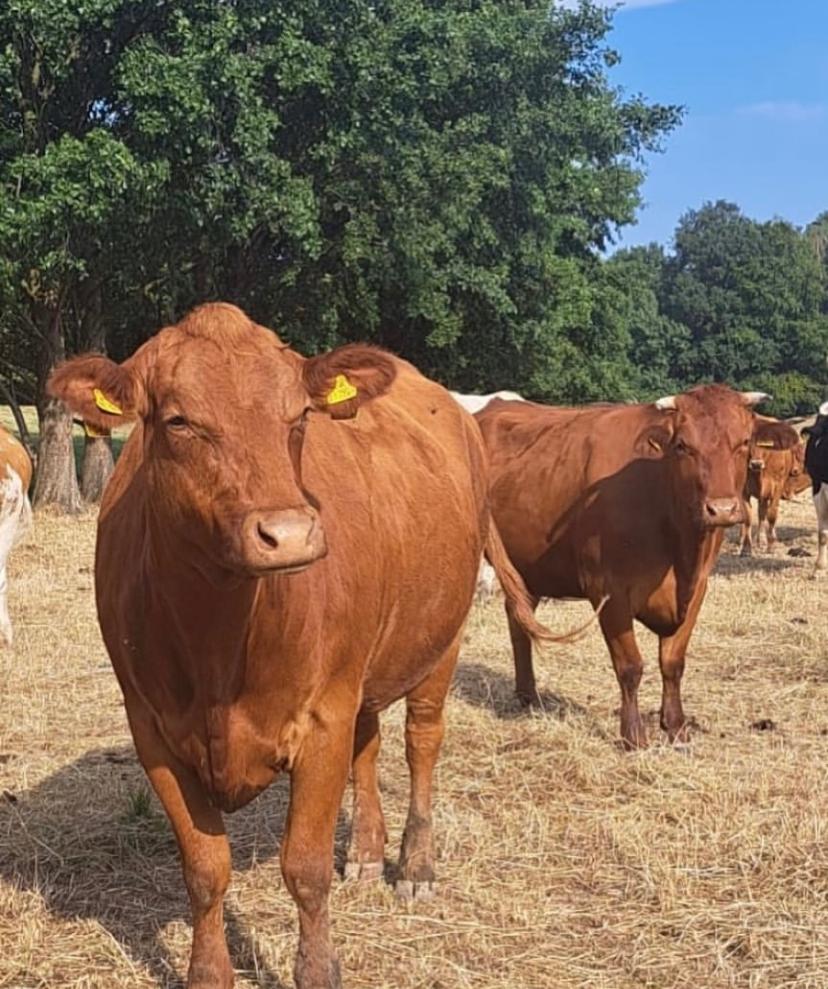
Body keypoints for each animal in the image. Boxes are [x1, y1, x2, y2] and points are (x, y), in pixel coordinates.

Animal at [476, 386, 792, 748]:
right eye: (683, 445)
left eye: (744, 441)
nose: (722, 509)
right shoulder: (607, 590)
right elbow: (629, 667)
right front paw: (633, 735)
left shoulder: (698, 587)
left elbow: (672, 662)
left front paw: (676, 726)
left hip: (529, 569)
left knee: (518, 616)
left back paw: (529, 695)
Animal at [736, 416, 808, 556]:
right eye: (748, 443)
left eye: (765, 444)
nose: (756, 464)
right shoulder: (744, 491)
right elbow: (748, 517)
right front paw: (746, 548)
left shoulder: (776, 488)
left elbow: (772, 515)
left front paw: (771, 546)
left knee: (764, 514)